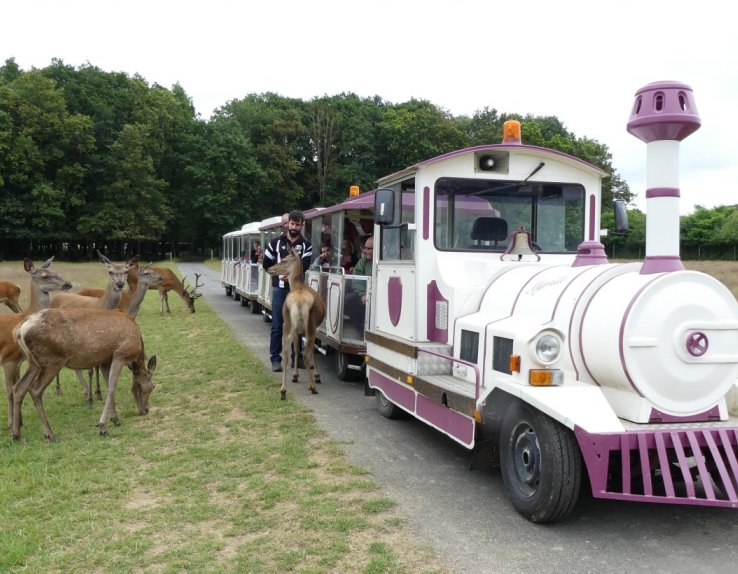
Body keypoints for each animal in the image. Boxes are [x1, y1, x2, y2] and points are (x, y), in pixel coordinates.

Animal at [0, 260, 72, 432]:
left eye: (56, 272)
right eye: (45, 276)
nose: (68, 284)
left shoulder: (19, 360)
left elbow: (18, 387)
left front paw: (20, 422)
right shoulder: (8, 358)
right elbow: (10, 390)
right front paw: (11, 424)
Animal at [11, 308, 157, 444]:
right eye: (150, 387)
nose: (145, 409)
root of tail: (19, 331)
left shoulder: (105, 360)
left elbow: (108, 386)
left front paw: (115, 419)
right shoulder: (120, 355)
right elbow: (111, 388)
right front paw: (102, 426)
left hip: (33, 363)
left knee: (19, 387)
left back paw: (16, 434)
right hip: (53, 361)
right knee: (35, 390)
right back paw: (50, 434)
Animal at [264, 246, 322, 400]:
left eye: (284, 260)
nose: (269, 269)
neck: (298, 285)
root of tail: (299, 302)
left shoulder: (297, 330)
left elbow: (295, 349)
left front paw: (295, 375)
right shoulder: (315, 328)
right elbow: (310, 350)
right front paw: (317, 375)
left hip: (289, 324)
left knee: (285, 352)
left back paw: (283, 390)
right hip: (310, 326)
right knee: (306, 353)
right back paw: (313, 387)